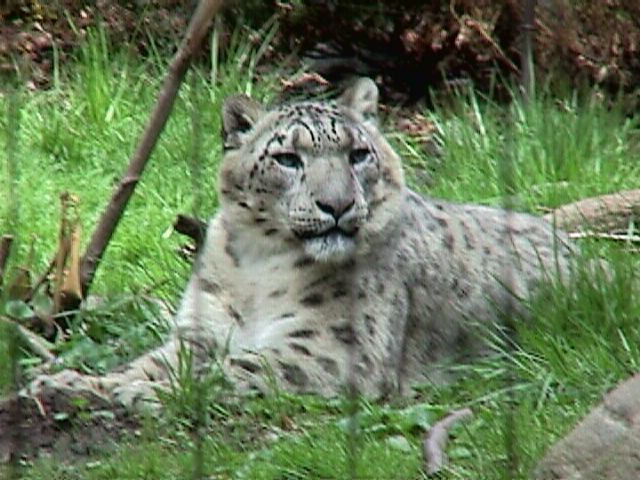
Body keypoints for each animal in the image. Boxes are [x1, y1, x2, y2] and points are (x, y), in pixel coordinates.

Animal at [23, 77, 575, 411]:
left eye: (358, 154)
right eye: (288, 159)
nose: (337, 205)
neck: (255, 265)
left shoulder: (330, 346)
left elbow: (229, 370)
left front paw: (132, 395)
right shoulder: (199, 333)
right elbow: (151, 364)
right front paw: (71, 383)